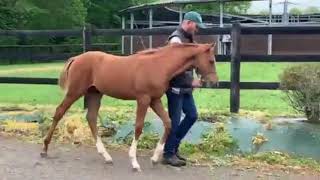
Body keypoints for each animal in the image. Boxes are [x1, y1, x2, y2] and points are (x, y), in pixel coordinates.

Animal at [41, 42, 219, 172]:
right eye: (211, 60)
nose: (214, 82)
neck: (159, 65)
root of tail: (77, 58)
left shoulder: (155, 100)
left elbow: (168, 123)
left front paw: (155, 158)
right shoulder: (143, 99)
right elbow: (139, 127)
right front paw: (134, 162)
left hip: (95, 94)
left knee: (91, 118)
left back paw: (106, 156)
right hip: (75, 91)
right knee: (60, 112)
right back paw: (44, 148)